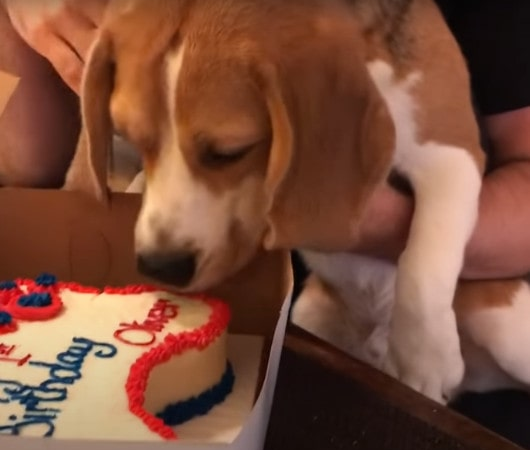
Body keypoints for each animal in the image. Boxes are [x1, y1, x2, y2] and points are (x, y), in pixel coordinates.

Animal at [65, 0, 504, 404]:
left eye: (230, 152)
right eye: (129, 137)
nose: (160, 266)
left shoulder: (451, 150)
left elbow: (424, 260)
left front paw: (424, 358)